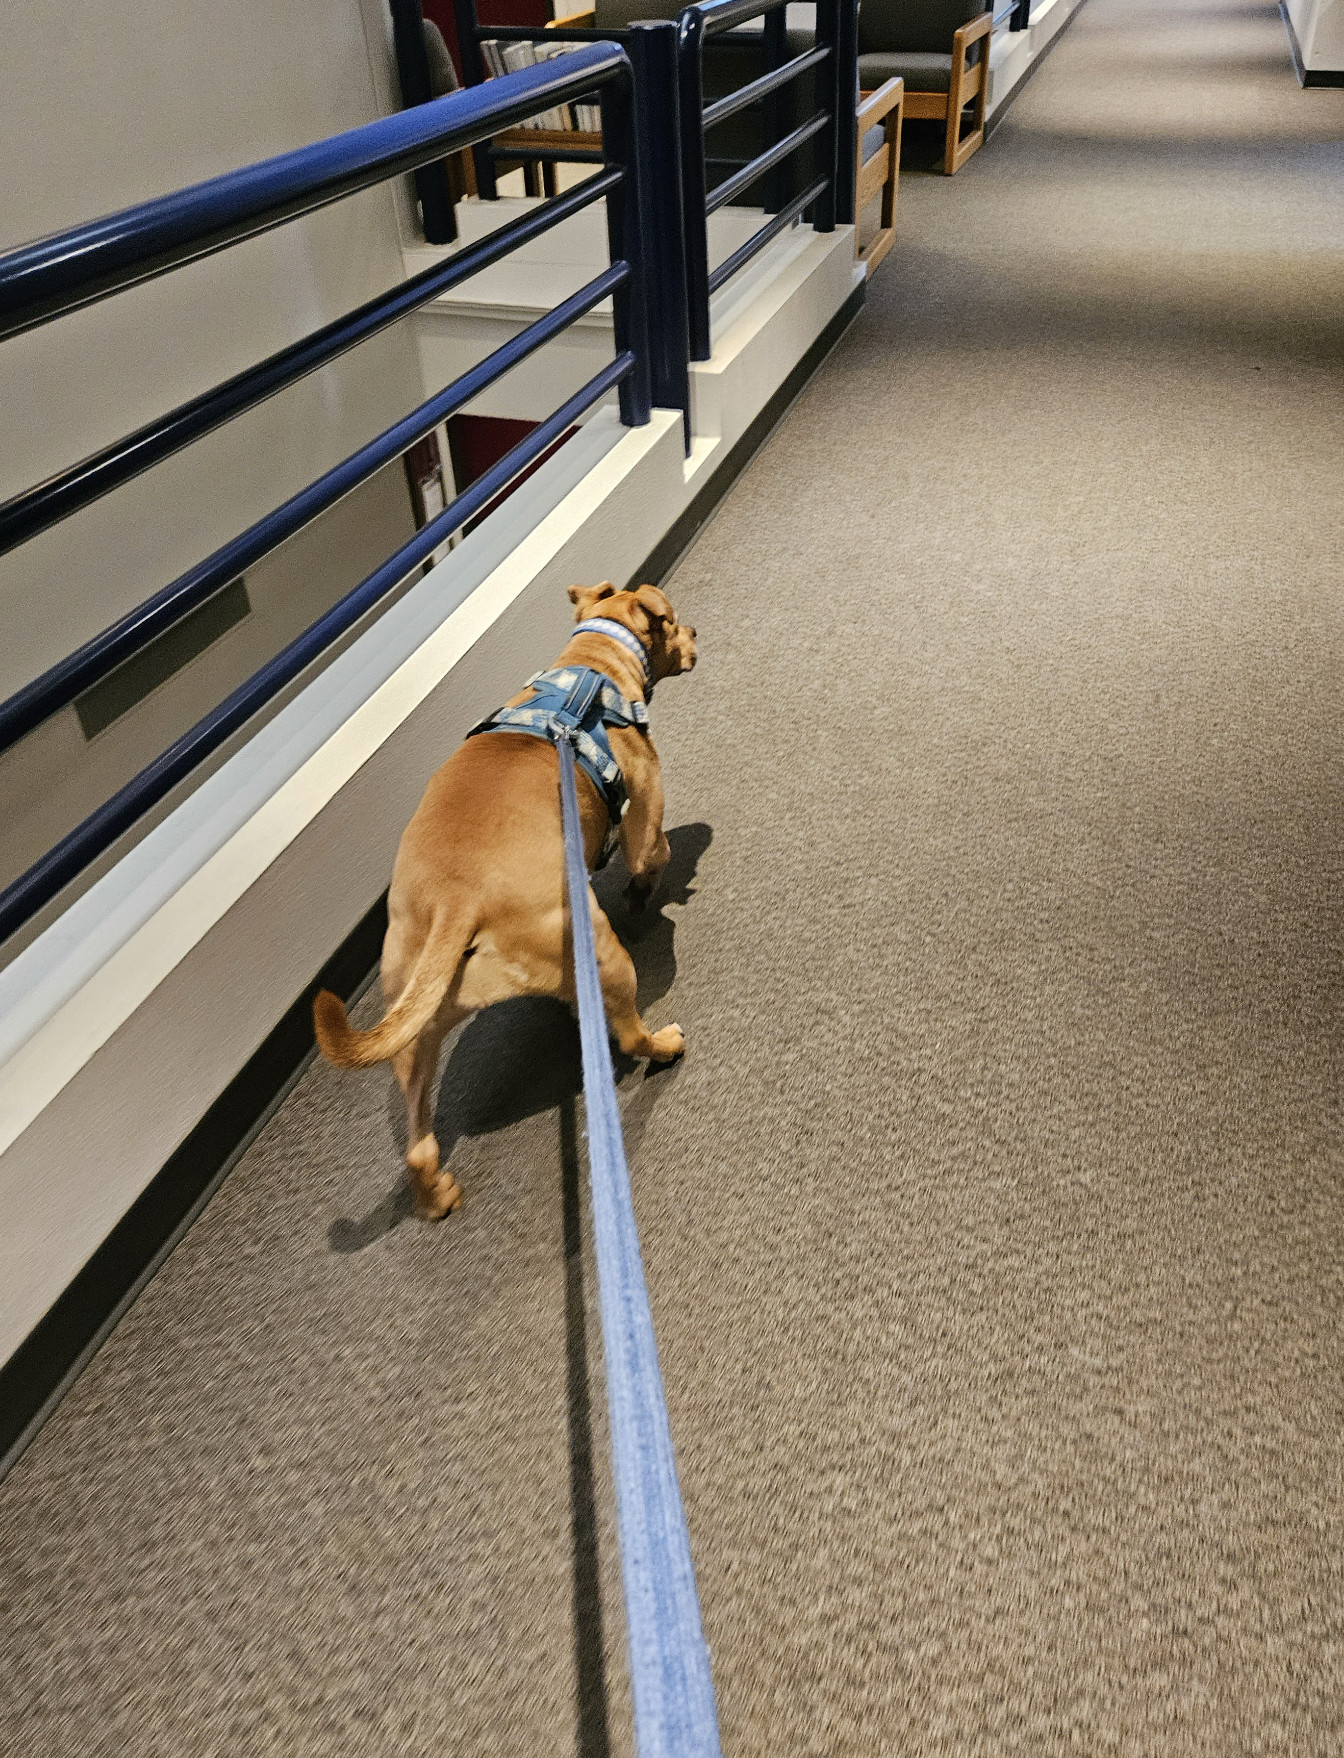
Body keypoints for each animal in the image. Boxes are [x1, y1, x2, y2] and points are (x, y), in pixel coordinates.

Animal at [310, 583, 695, 1216]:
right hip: (602, 955)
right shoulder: (645, 808)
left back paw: (436, 1195)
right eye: (676, 622)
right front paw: (648, 890)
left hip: (413, 1021)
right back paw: (661, 1044)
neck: (593, 665)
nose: (697, 636)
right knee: (627, 1031)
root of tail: (456, 901)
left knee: (417, 1144)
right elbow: (651, 854)